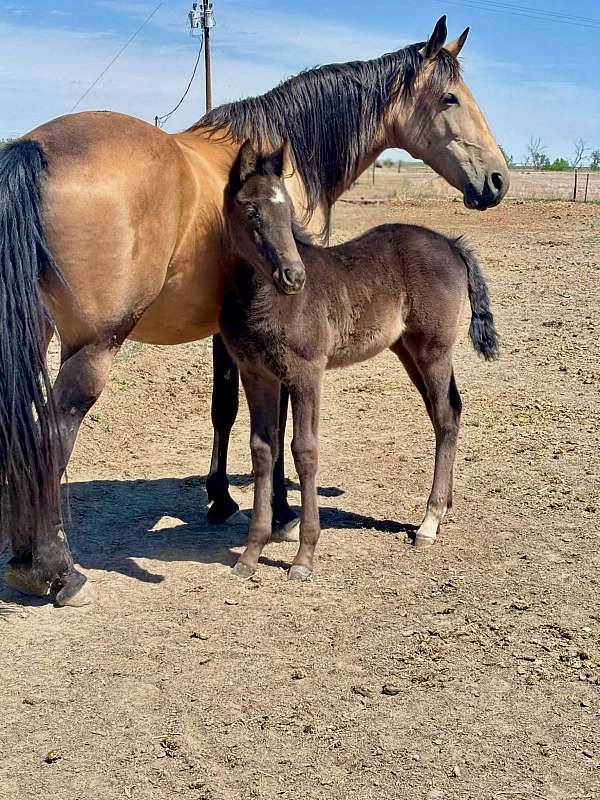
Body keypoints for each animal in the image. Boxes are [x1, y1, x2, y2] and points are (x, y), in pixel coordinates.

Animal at [219, 141, 499, 581]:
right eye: (251, 211)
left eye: (287, 211)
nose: (294, 276)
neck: (261, 299)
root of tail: (451, 243)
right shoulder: (256, 373)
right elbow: (263, 450)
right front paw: (250, 555)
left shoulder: (307, 373)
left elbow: (304, 451)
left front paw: (304, 558)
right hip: (408, 351)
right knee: (447, 411)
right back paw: (443, 509)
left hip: (434, 348)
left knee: (446, 416)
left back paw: (430, 521)